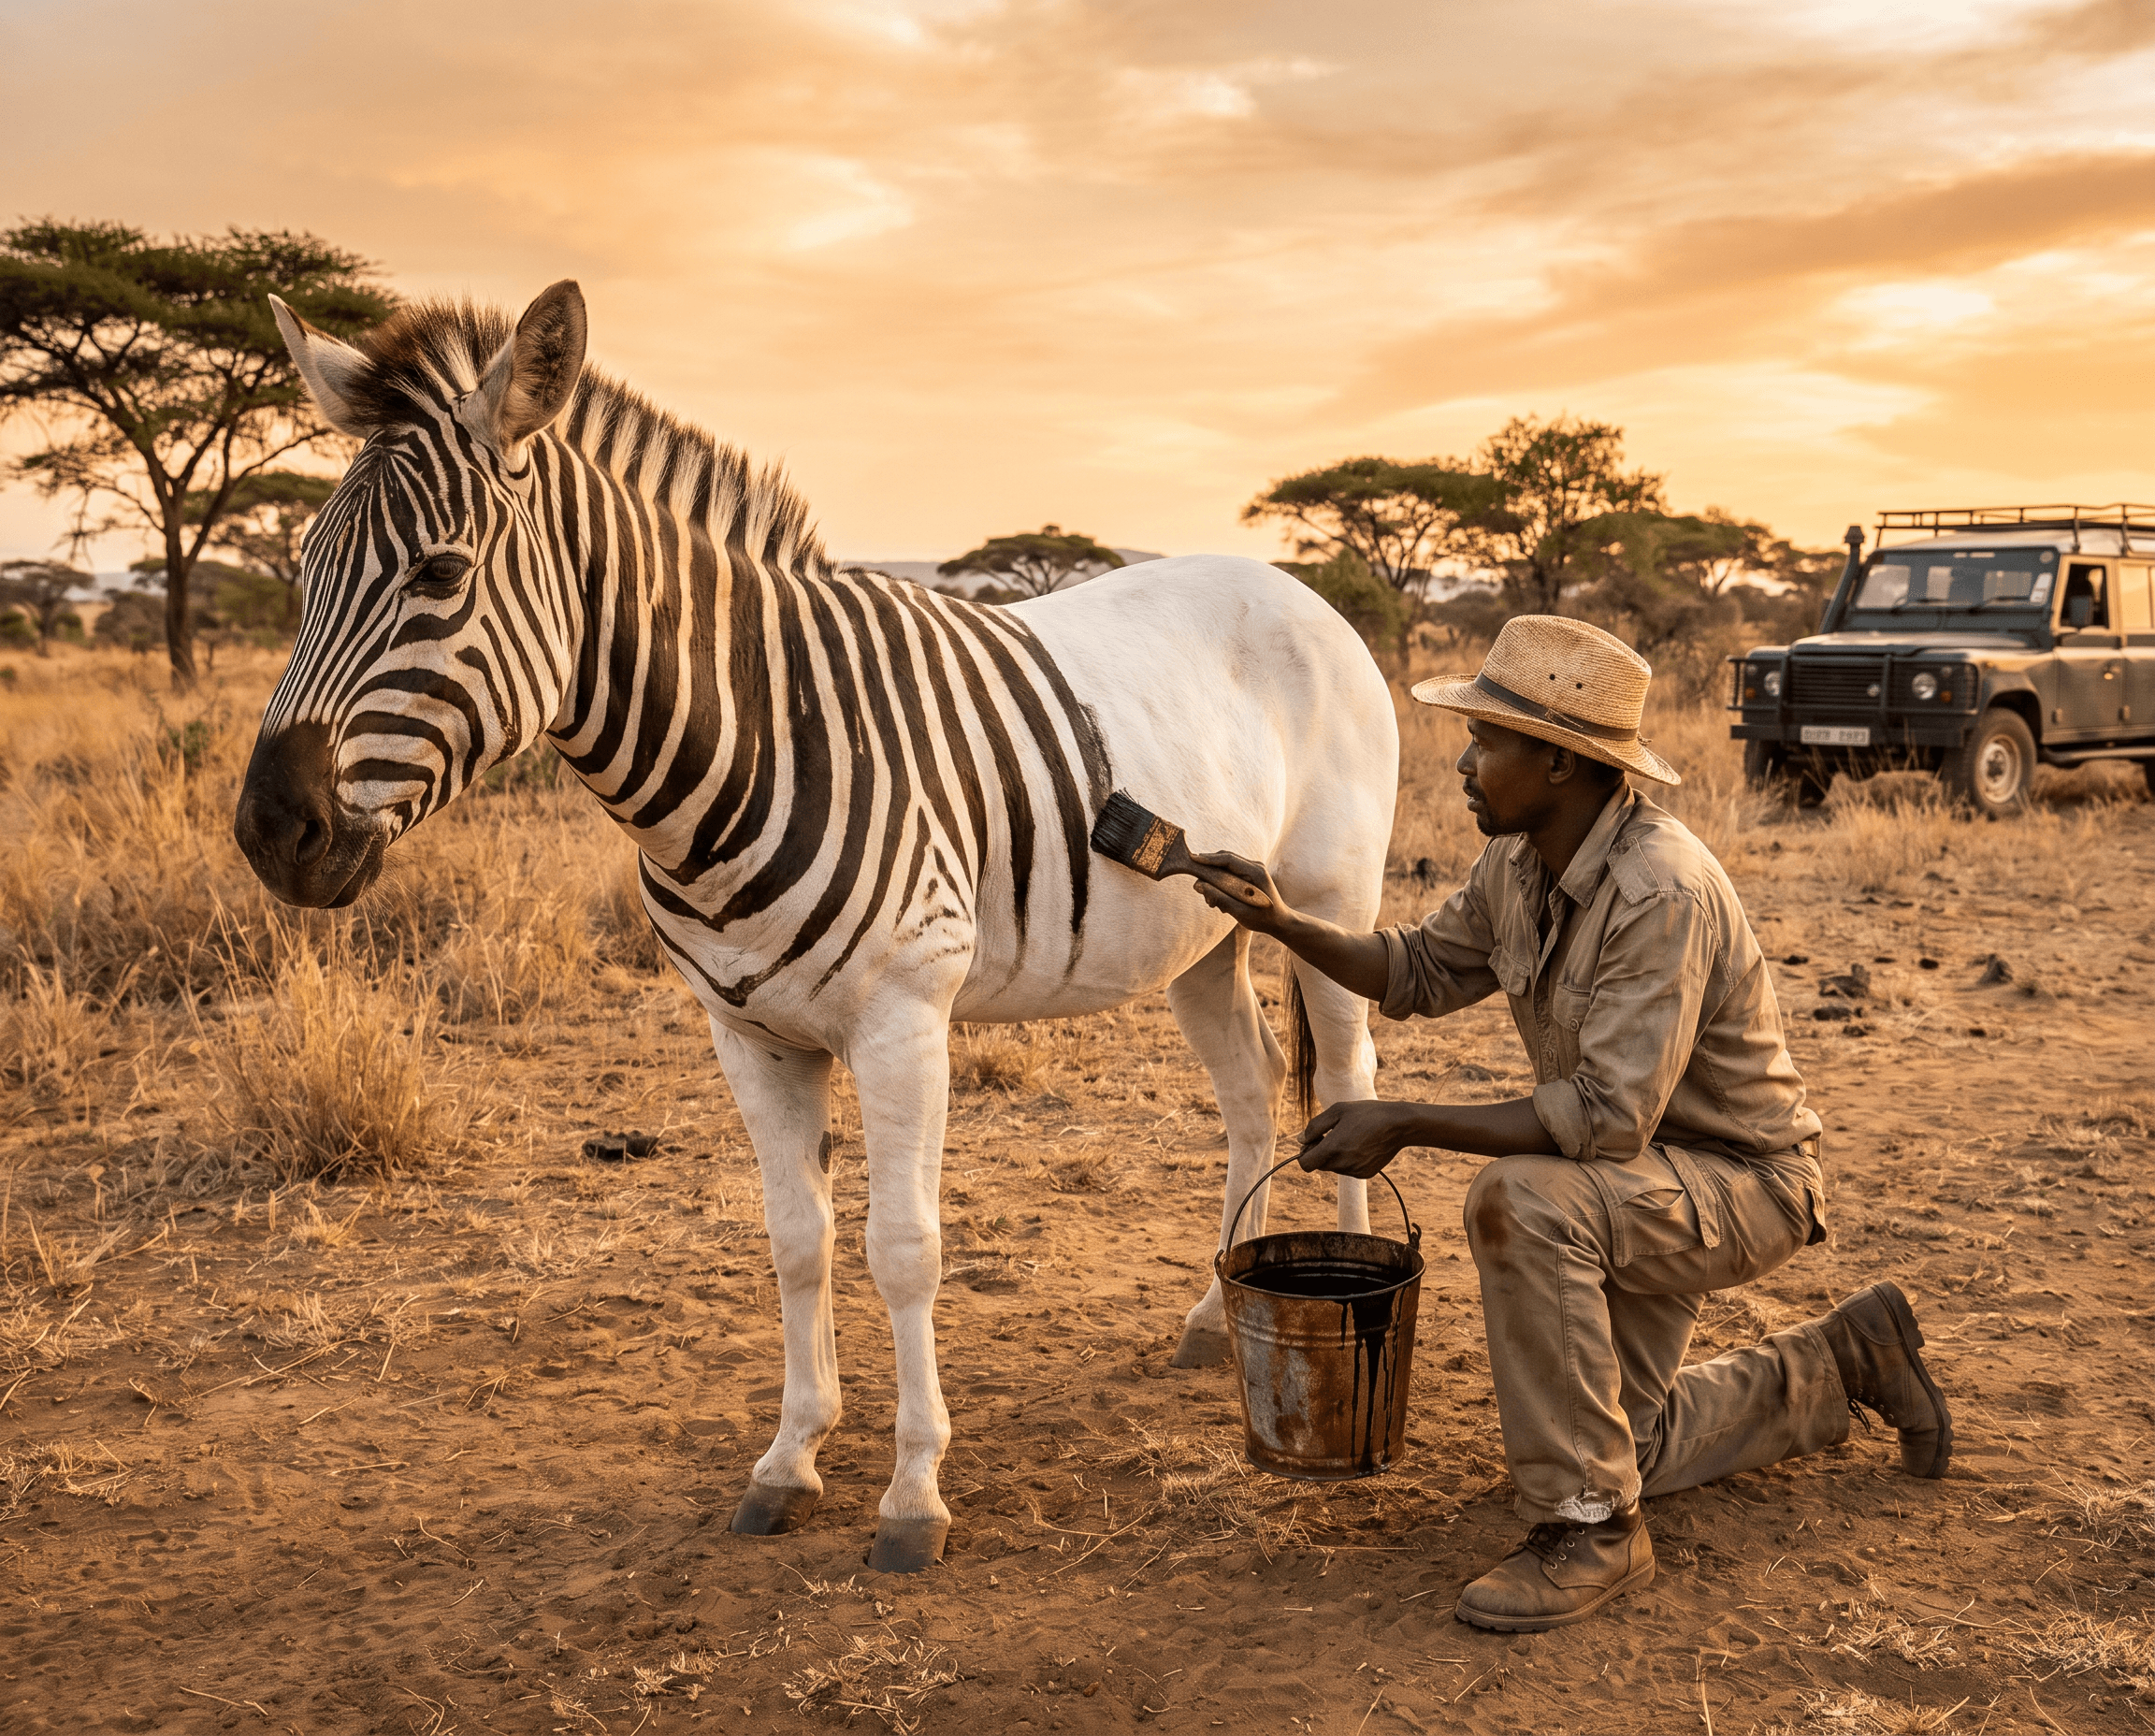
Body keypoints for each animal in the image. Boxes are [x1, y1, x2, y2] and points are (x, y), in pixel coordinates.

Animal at [235, 281, 1399, 1572]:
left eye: (440, 572)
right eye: (302, 567)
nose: (267, 828)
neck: (751, 739)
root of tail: (1290, 581)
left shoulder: (903, 1020)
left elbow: (904, 1247)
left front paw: (914, 1490)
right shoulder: (746, 1032)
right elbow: (796, 1238)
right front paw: (790, 1457)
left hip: (1331, 898)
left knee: (1348, 1078)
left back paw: (1355, 1304)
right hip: (1199, 929)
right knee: (1252, 1093)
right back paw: (1208, 1317)